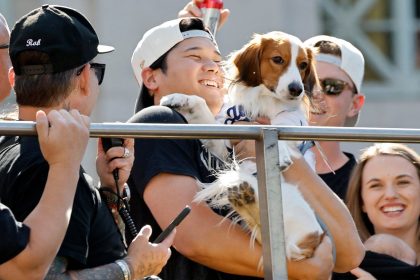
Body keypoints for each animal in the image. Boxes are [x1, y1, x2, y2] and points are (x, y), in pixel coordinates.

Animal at [161, 30, 324, 260]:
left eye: (303, 65)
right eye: (278, 59)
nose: (297, 89)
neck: (264, 101)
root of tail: (311, 239)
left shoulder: (290, 121)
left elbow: (282, 123)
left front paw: (281, 153)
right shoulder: (224, 144)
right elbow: (200, 105)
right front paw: (180, 98)